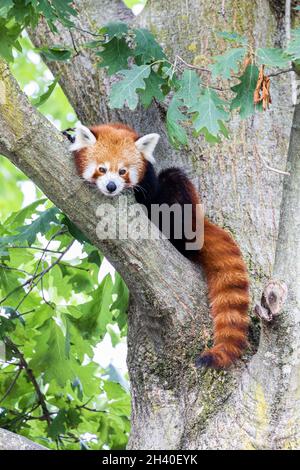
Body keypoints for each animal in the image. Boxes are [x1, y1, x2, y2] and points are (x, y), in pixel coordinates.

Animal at [67, 122, 248, 368]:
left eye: (123, 171)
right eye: (101, 169)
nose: (112, 186)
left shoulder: (149, 181)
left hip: (184, 208)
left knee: (174, 178)